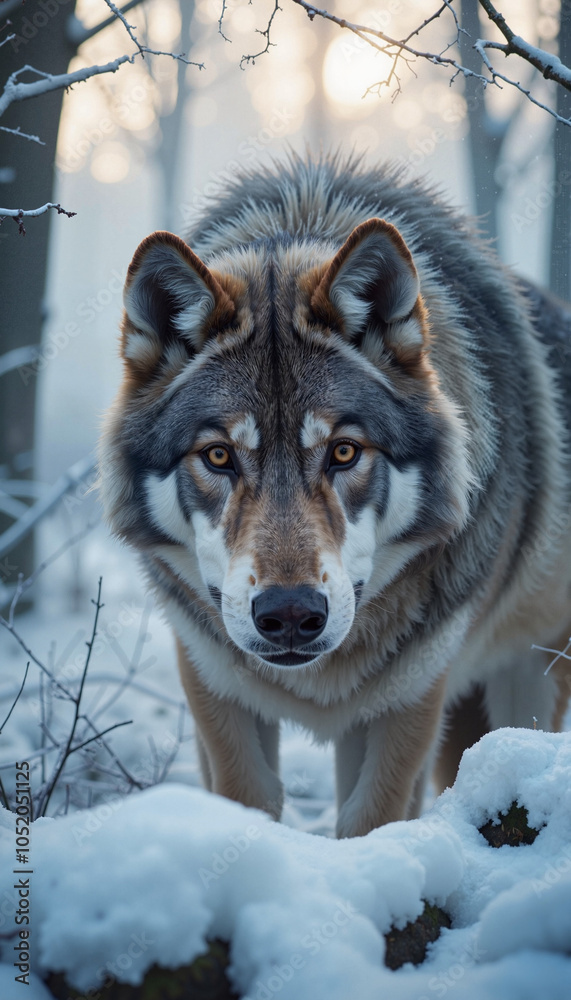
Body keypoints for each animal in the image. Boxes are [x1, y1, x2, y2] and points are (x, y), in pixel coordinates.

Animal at [99, 154, 571, 838]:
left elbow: (370, 823)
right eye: (218, 456)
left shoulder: (411, 698)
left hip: (528, 684)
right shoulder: (213, 685)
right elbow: (245, 803)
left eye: (344, 452)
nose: (291, 614)